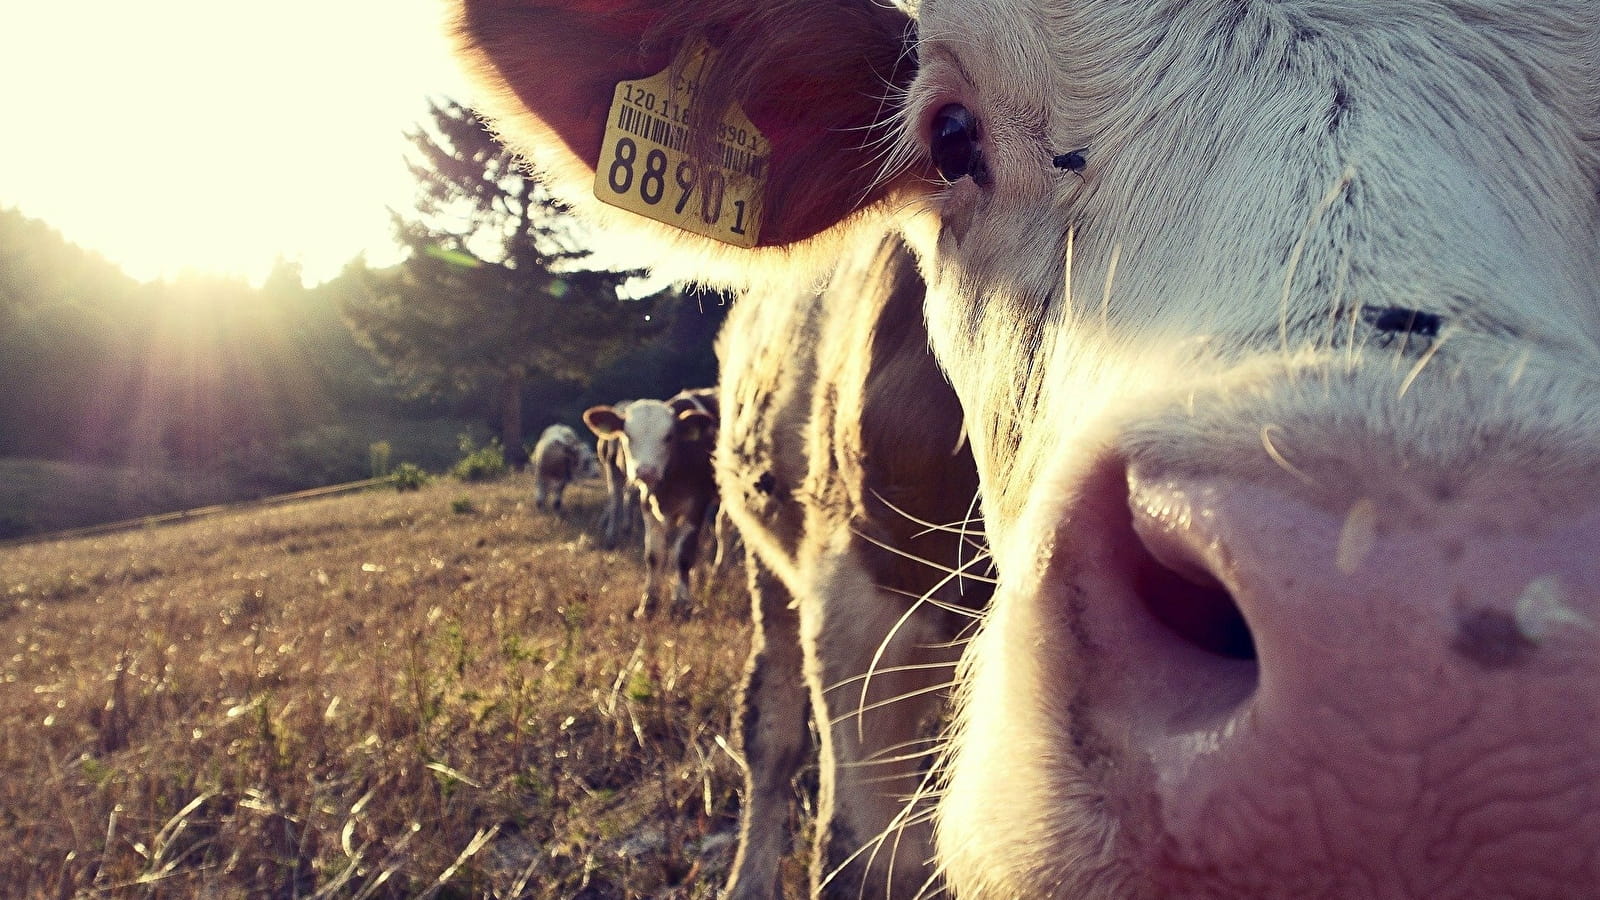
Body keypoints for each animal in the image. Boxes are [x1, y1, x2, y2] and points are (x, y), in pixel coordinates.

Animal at [582, 389, 720, 621]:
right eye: (628, 436)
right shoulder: (647, 503)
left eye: (669, 436)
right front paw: (648, 605)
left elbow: (683, 555)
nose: (646, 471)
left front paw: (682, 604)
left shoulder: (697, 506)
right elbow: (654, 555)